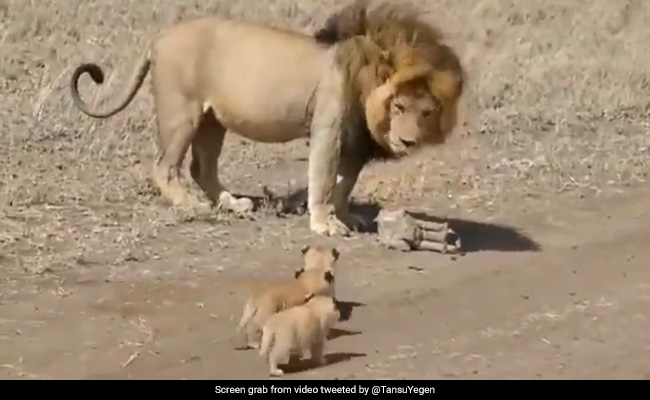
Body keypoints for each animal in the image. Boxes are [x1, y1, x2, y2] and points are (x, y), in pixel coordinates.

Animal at [69, 1, 465, 237]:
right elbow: (323, 181)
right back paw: (191, 206)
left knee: (202, 168)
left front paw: (345, 217)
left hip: (213, 120)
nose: (408, 141)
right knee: (165, 166)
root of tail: (159, 37)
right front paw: (324, 224)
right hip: (182, 112)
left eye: (426, 112)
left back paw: (232, 204)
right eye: (399, 107)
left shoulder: (354, 143)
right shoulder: (329, 128)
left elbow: (344, 184)